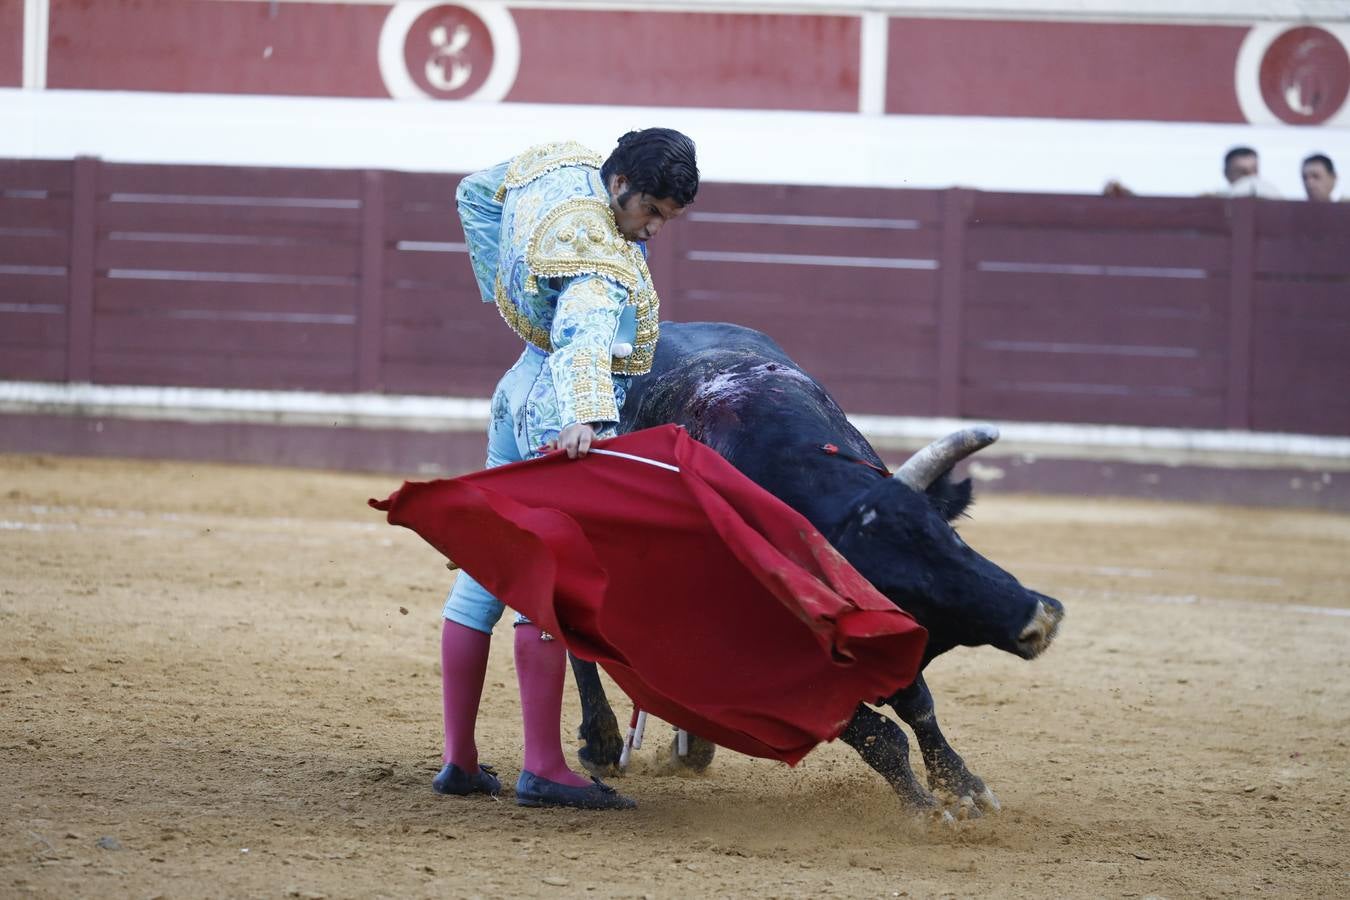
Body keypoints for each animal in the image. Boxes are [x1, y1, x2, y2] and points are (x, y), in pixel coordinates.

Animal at [567, 322, 1063, 814]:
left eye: (951, 538)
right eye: (897, 588)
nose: (1039, 617)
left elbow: (919, 707)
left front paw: (963, 786)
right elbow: (876, 733)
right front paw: (925, 809)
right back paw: (604, 745)